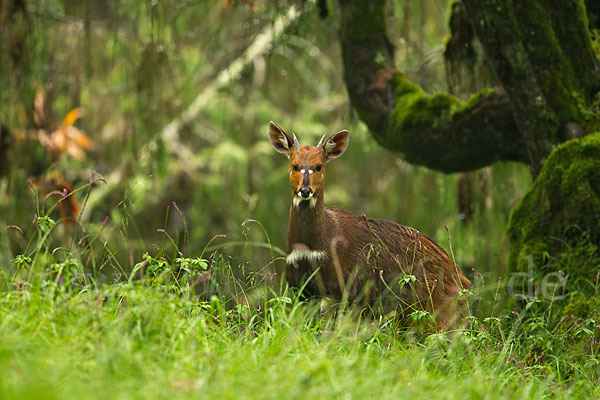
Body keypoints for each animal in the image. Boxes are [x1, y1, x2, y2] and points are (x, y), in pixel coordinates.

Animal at [270, 122, 472, 328]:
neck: (313, 247)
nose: (305, 190)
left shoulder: (338, 290)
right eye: (294, 166)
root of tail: (462, 279)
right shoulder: (302, 291)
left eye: (319, 166)